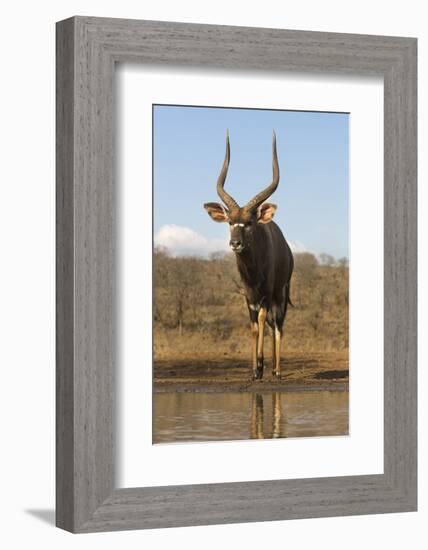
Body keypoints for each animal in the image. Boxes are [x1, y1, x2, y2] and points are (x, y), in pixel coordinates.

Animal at [205, 134, 294, 384]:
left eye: (250, 222)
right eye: (230, 222)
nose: (235, 243)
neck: (253, 272)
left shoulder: (265, 294)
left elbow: (263, 321)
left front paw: (261, 367)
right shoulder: (249, 296)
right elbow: (254, 326)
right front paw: (254, 370)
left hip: (281, 293)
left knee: (278, 325)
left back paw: (277, 370)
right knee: (273, 324)